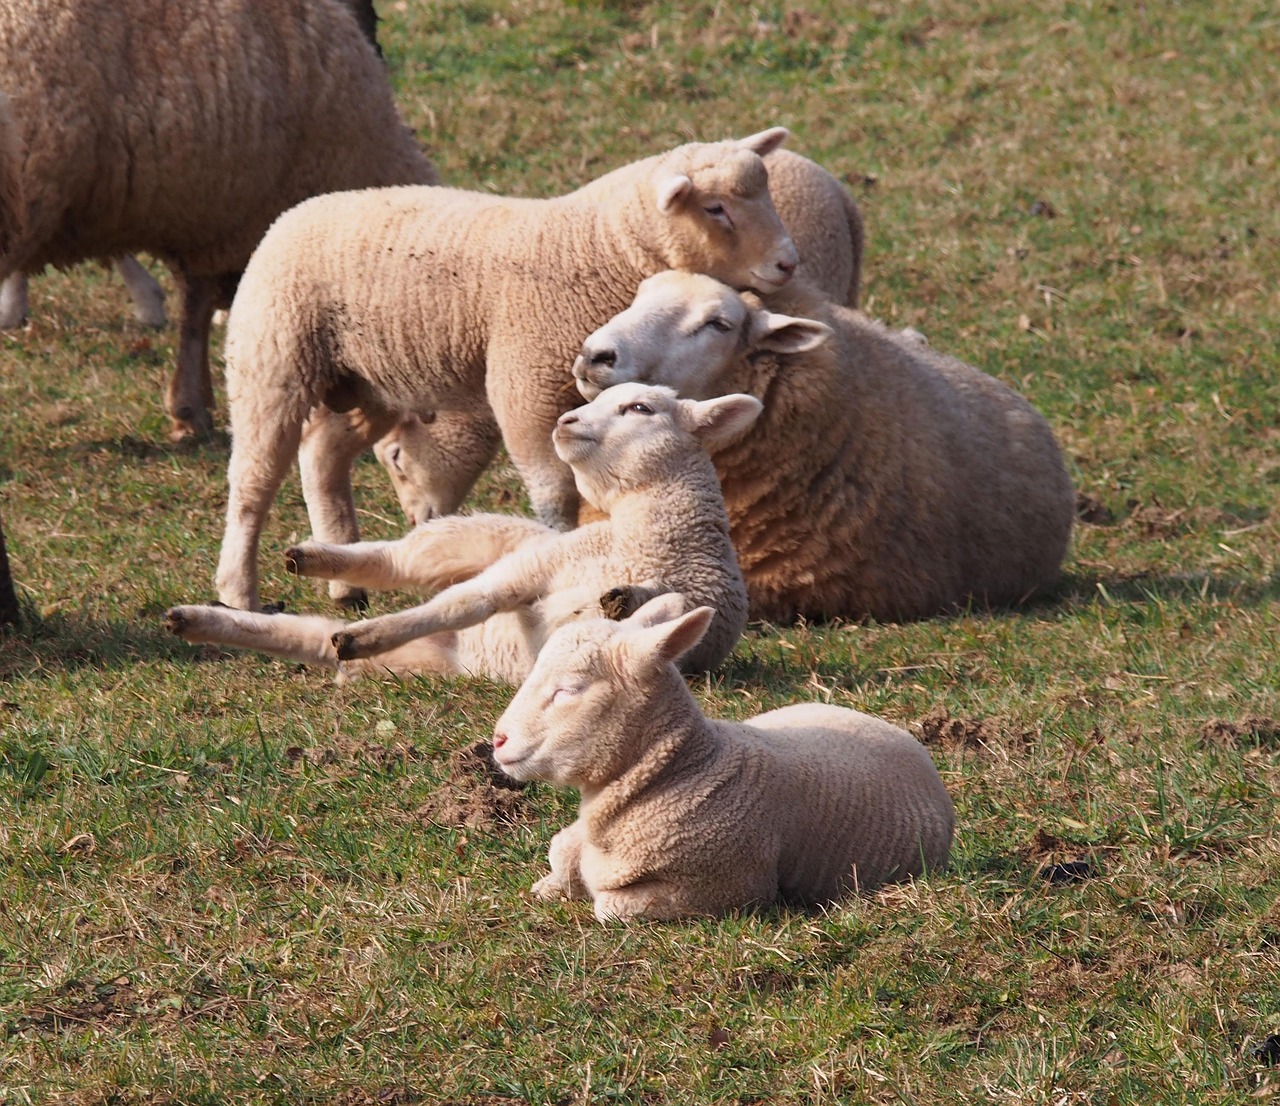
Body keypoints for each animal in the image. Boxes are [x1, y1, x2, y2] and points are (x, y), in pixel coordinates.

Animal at [0, 0, 436, 439]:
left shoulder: (211, 218)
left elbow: (197, 305)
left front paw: (191, 404)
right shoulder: (230, 220)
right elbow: (197, 308)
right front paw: (191, 405)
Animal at [167, 384, 761, 681]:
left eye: (640, 407)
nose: (565, 421)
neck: (642, 537)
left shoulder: (708, 624)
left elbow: (666, 609)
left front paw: (623, 600)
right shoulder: (528, 571)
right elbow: (461, 601)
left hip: (422, 657)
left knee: (311, 636)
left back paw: (204, 623)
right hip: (469, 537)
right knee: (396, 562)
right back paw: (311, 560)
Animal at [212, 129, 799, 613]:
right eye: (716, 208)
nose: (788, 262)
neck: (594, 246)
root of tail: (297, 212)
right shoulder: (526, 383)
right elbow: (554, 492)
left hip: (369, 381)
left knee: (323, 457)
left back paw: (344, 584)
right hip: (274, 358)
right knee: (254, 479)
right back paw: (238, 592)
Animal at [366, 146, 866, 535]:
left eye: (395, 458)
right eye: (715, 208)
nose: (417, 522)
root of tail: (842, 194)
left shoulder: (527, 396)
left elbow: (554, 495)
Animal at [491, 594, 955, 921]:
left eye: (570, 689)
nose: (498, 740)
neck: (686, 768)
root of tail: (907, 741)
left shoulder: (723, 889)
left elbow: (609, 907)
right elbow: (560, 854)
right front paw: (549, 886)